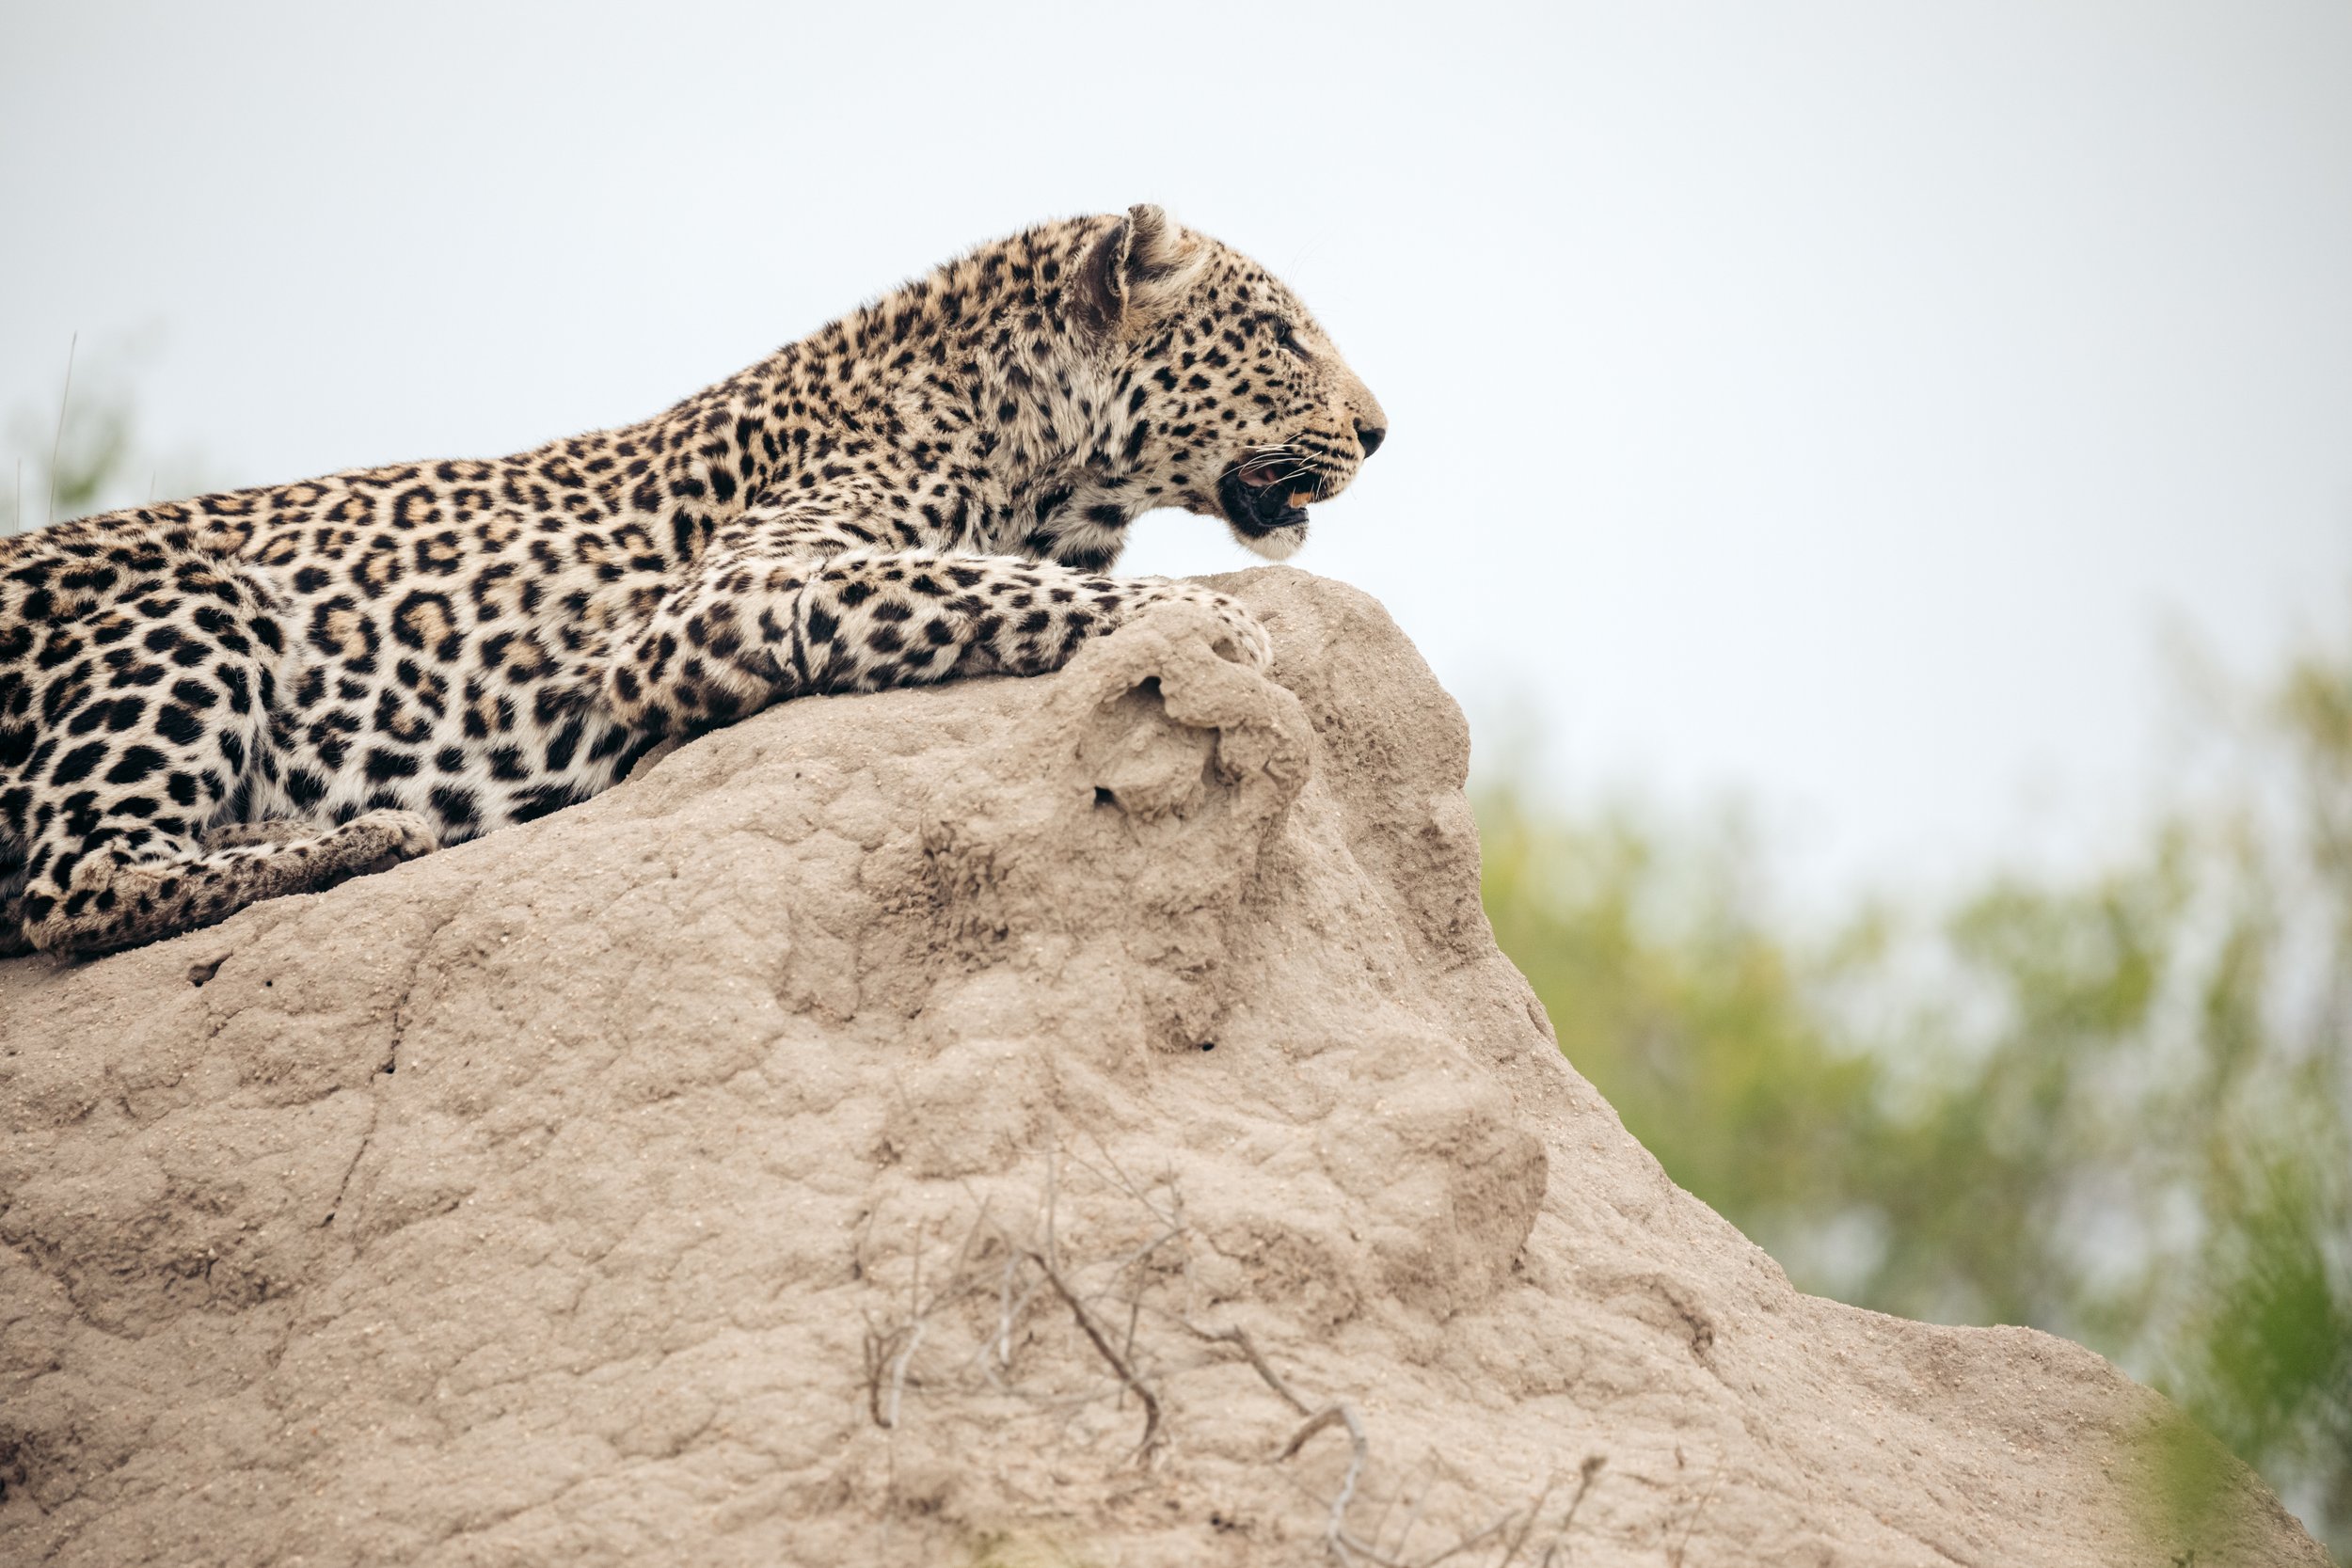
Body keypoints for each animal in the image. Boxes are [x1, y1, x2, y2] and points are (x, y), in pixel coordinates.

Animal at [0, 206, 1383, 958]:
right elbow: (979, 583)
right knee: (76, 881)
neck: (1039, 457)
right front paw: (1208, 614)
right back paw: (359, 836)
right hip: (206, 603)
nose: (1381, 432)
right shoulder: (727, 596)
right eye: (1280, 336)